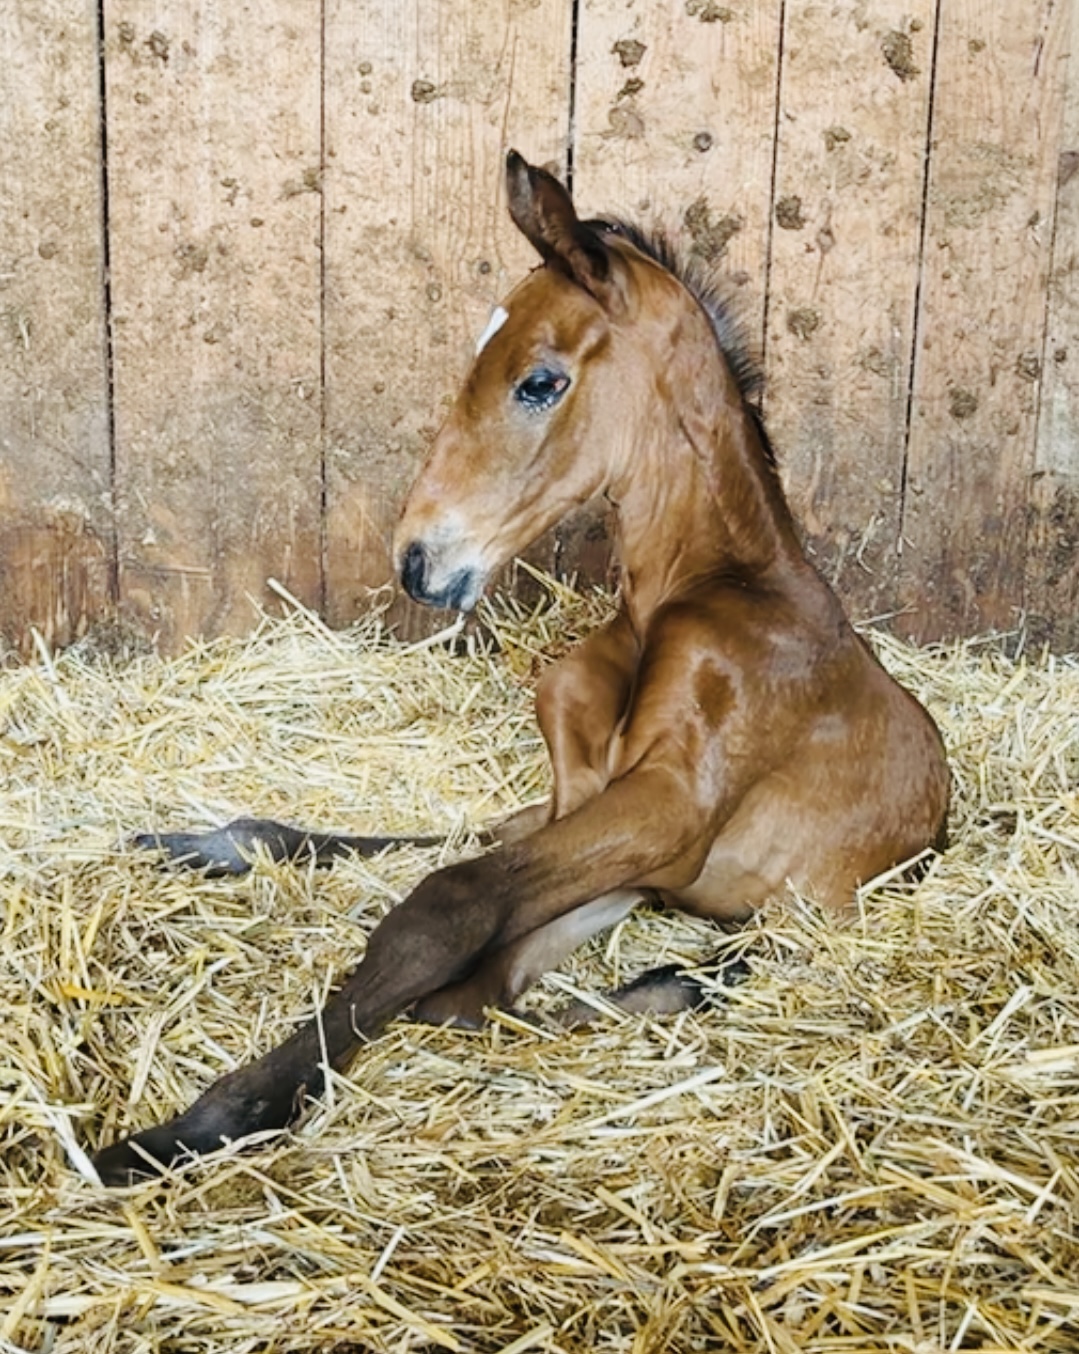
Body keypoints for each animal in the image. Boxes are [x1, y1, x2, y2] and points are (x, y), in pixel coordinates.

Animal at [94, 150, 953, 1186]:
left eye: (539, 382)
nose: (418, 559)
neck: (701, 590)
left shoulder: (672, 807)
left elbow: (447, 906)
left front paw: (199, 1123)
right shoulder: (584, 794)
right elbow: (459, 916)